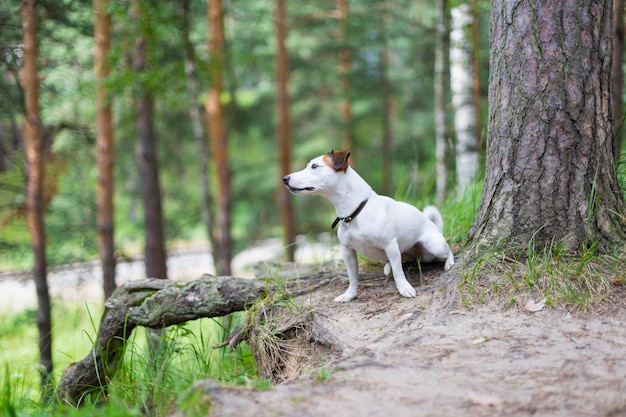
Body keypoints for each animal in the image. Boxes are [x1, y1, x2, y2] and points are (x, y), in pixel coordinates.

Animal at [282, 150, 454, 302]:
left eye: (314, 166)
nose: (285, 178)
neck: (355, 212)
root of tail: (434, 227)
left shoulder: (390, 245)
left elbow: (399, 273)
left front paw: (404, 288)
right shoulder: (347, 251)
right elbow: (353, 277)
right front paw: (349, 295)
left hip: (434, 246)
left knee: (448, 251)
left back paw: (449, 262)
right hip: (405, 253)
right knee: (400, 262)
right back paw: (388, 267)